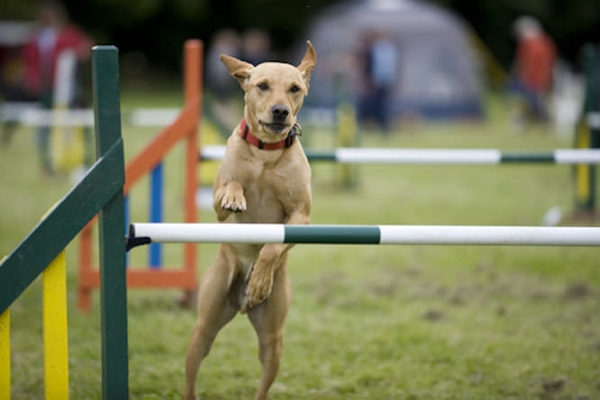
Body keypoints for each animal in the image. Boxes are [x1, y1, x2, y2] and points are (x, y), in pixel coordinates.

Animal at [183, 41, 316, 400]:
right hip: (204, 324)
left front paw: (259, 279)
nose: (281, 111)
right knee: (193, 368)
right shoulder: (217, 202)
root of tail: (240, 305)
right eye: (263, 85)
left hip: (273, 336)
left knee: (265, 373)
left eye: (295, 89)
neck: (265, 152)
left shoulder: (300, 215)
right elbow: (230, 188)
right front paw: (236, 196)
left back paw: (254, 285)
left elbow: (272, 247)